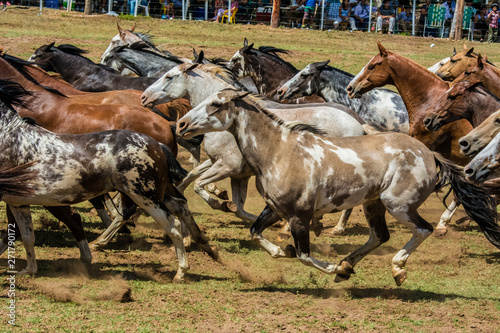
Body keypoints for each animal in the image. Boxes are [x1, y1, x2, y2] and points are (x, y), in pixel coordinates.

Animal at [0, 80, 214, 280]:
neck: (12, 139)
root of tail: (157, 145)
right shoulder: (18, 202)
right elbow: (26, 236)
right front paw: (28, 270)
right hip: (157, 193)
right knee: (179, 206)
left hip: (146, 198)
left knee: (171, 226)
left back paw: (181, 271)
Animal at [139, 59, 366, 233]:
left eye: (169, 77)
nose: (144, 97)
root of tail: (360, 126)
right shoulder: (229, 169)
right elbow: (193, 178)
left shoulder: (227, 166)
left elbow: (200, 186)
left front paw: (221, 202)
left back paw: (334, 228)